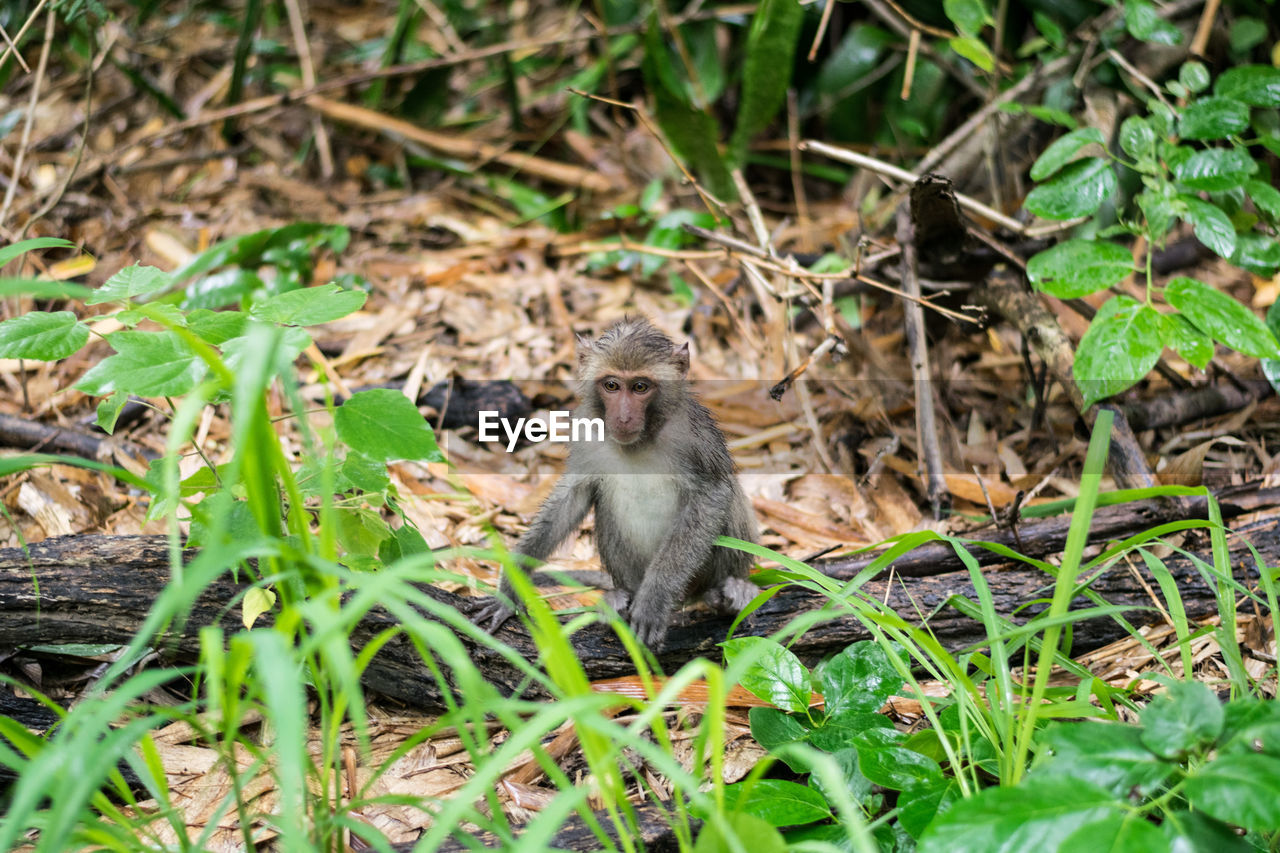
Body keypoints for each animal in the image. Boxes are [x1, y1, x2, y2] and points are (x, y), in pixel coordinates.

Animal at [475, 317, 759, 647]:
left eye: (640, 387)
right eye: (611, 385)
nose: (623, 418)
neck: (642, 439)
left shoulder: (696, 435)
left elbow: (712, 494)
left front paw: (654, 600)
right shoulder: (587, 432)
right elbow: (573, 497)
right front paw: (510, 590)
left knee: (729, 500)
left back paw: (726, 591)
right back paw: (621, 597)